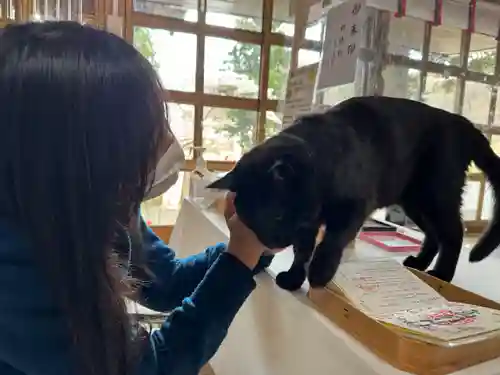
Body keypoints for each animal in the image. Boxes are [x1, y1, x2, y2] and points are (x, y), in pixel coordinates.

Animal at [206, 96, 500, 290]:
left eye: (276, 215)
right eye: (253, 218)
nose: (275, 241)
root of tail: (461, 121)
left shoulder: (353, 206)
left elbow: (331, 241)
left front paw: (320, 274)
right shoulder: (307, 222)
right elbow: (303, 250)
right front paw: (293, 277)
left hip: (436, 194)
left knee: (454, 232)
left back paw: (441, 274)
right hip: (414, 201)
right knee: (433, 233)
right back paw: (418, 262)